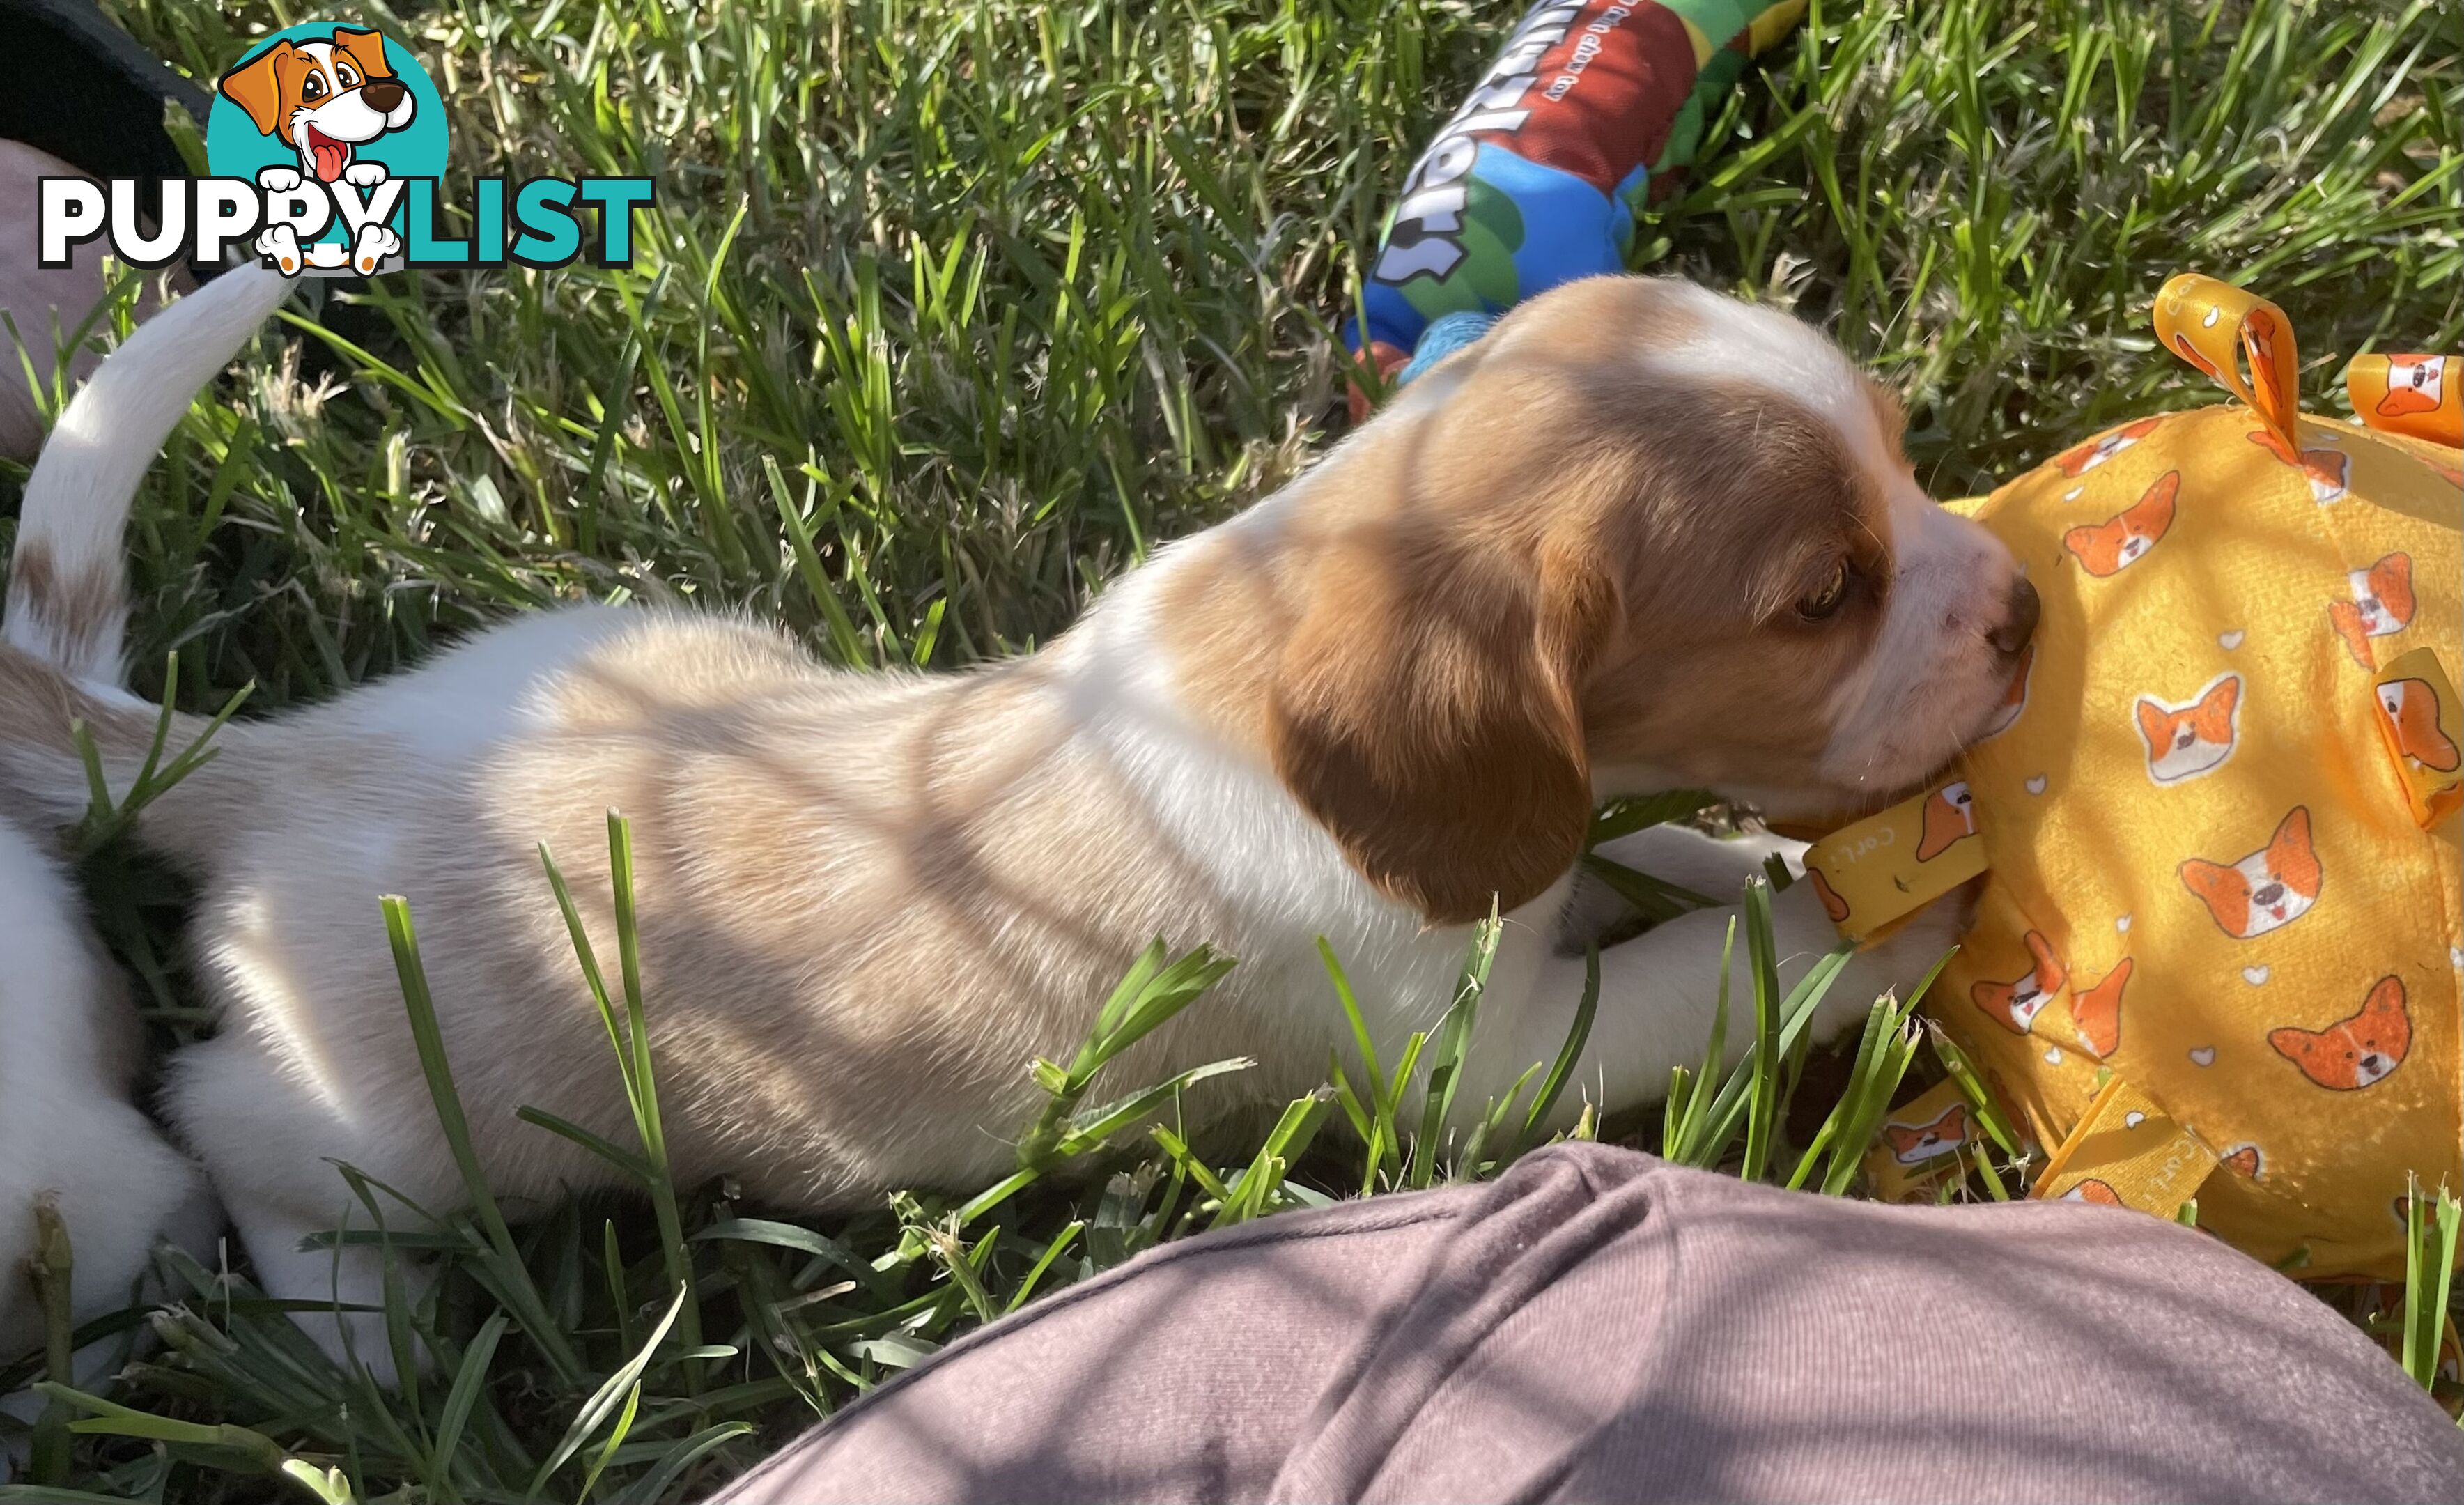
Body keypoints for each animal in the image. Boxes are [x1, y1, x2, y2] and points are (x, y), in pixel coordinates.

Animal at [4, 270, 2040, 1379]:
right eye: (1821, 597)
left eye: (1900, 451)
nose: (2024, 607)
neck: (1274, 618)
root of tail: (278, 761)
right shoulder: (1486, 1060)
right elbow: (1712, 972)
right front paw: (1876, 920)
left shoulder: (1548, 863)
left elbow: (1654, 860)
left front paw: (1762, 854)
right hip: (407, 1124)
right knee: (228, 1133)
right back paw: (355, 1324)